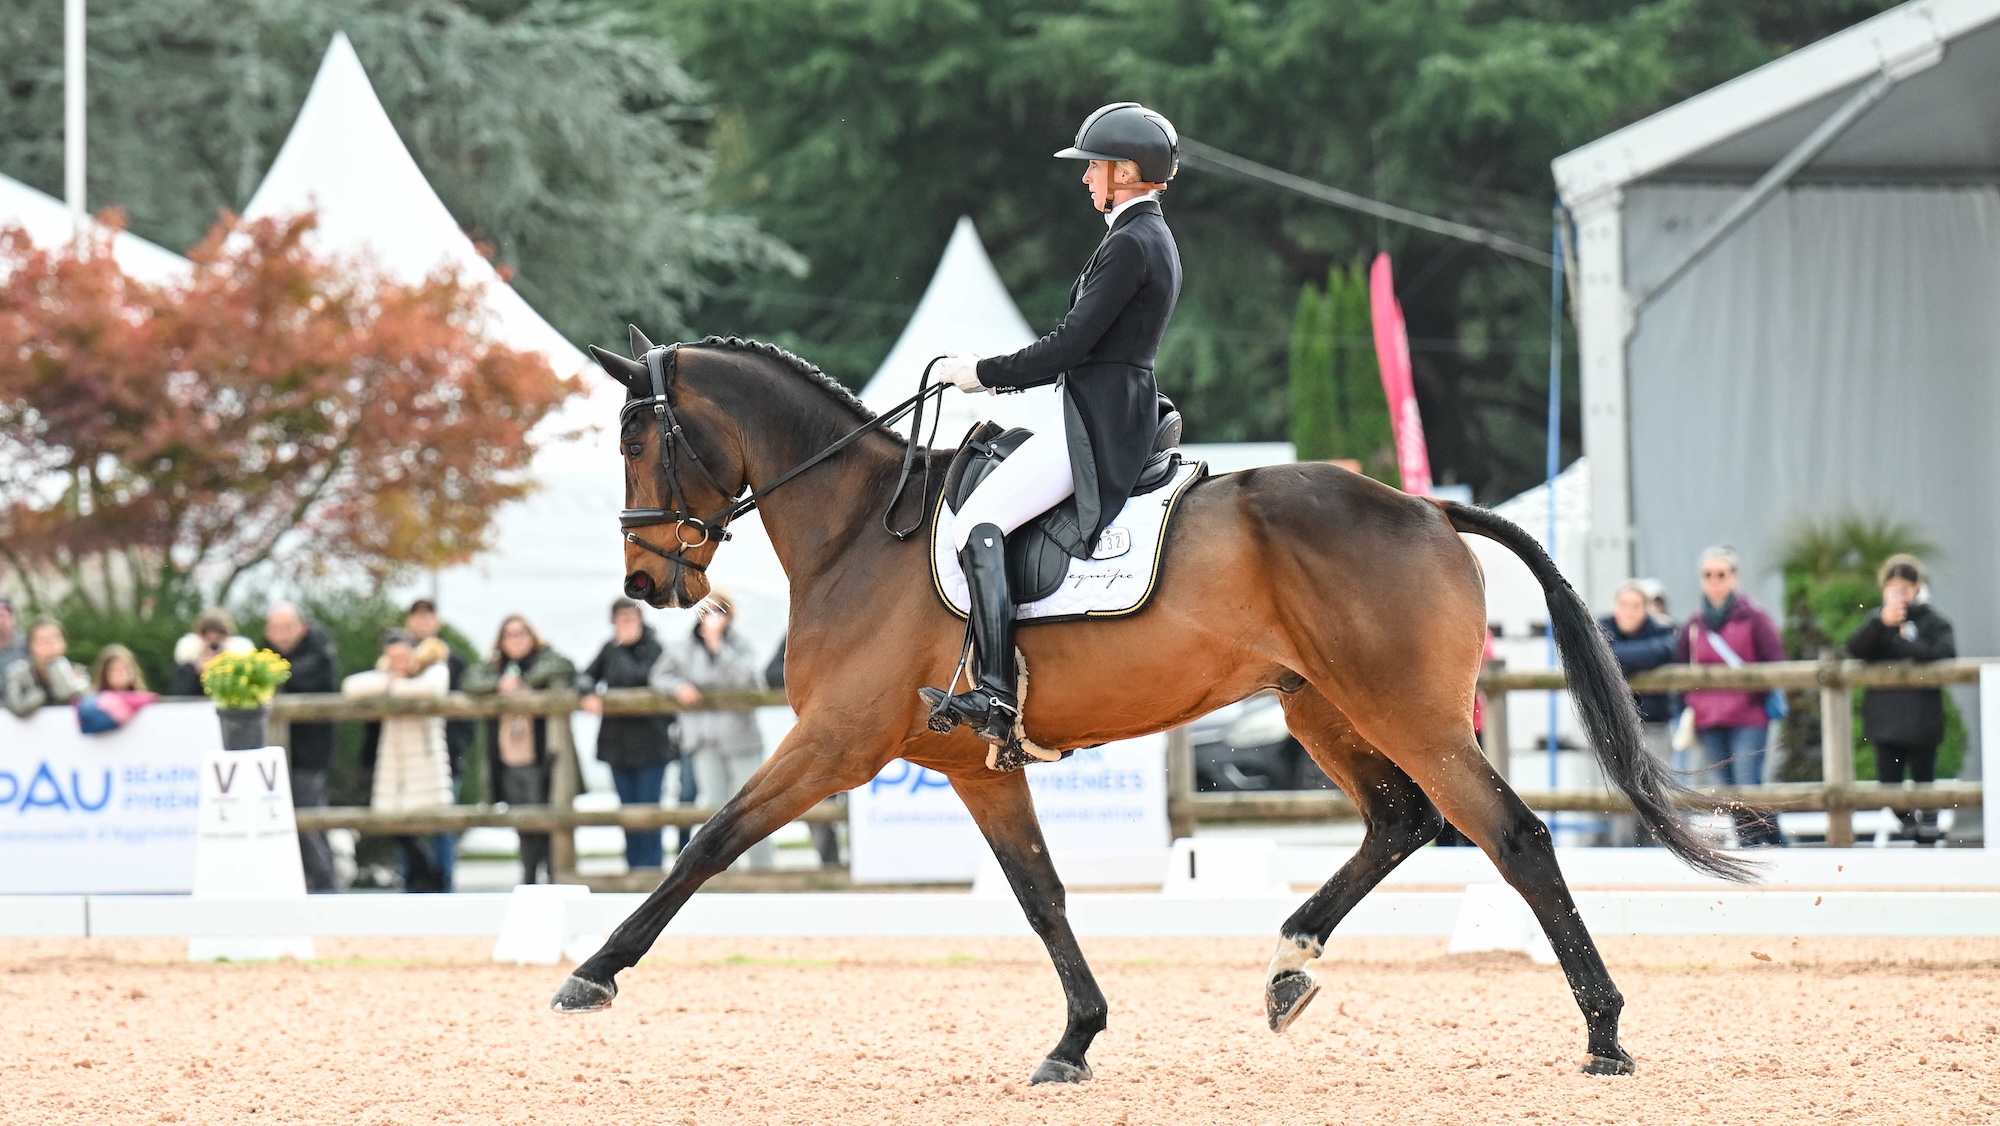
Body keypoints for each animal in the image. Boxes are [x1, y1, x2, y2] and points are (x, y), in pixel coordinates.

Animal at [554, 331, 1751, 1085]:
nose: (648, 585)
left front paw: (591, 975)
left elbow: (709, 839)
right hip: (1324, 710)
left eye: (634, 438)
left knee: (1510, 833)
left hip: (1404, 707)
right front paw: (1076, 1038)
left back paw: (1603, 1033)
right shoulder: (973, 765)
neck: (859, 531)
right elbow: (1041, 895)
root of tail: (1423, 504)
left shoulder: (834, 742)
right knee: (1400, 820)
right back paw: (1289, 963)